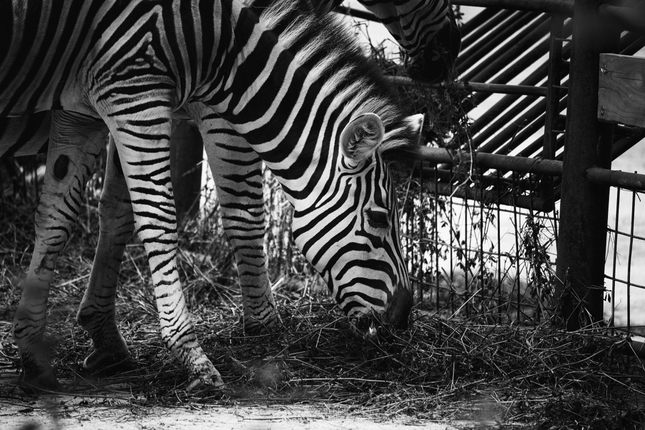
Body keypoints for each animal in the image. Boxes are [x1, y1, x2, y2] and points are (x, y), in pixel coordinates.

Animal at [3, 0, 426, 391]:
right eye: (378, 219)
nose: (403, 317)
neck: (217, 40)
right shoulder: (139, 95)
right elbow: (181, 216)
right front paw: (202, 354)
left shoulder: (83, 108)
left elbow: (64, 217)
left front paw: (40, 354)